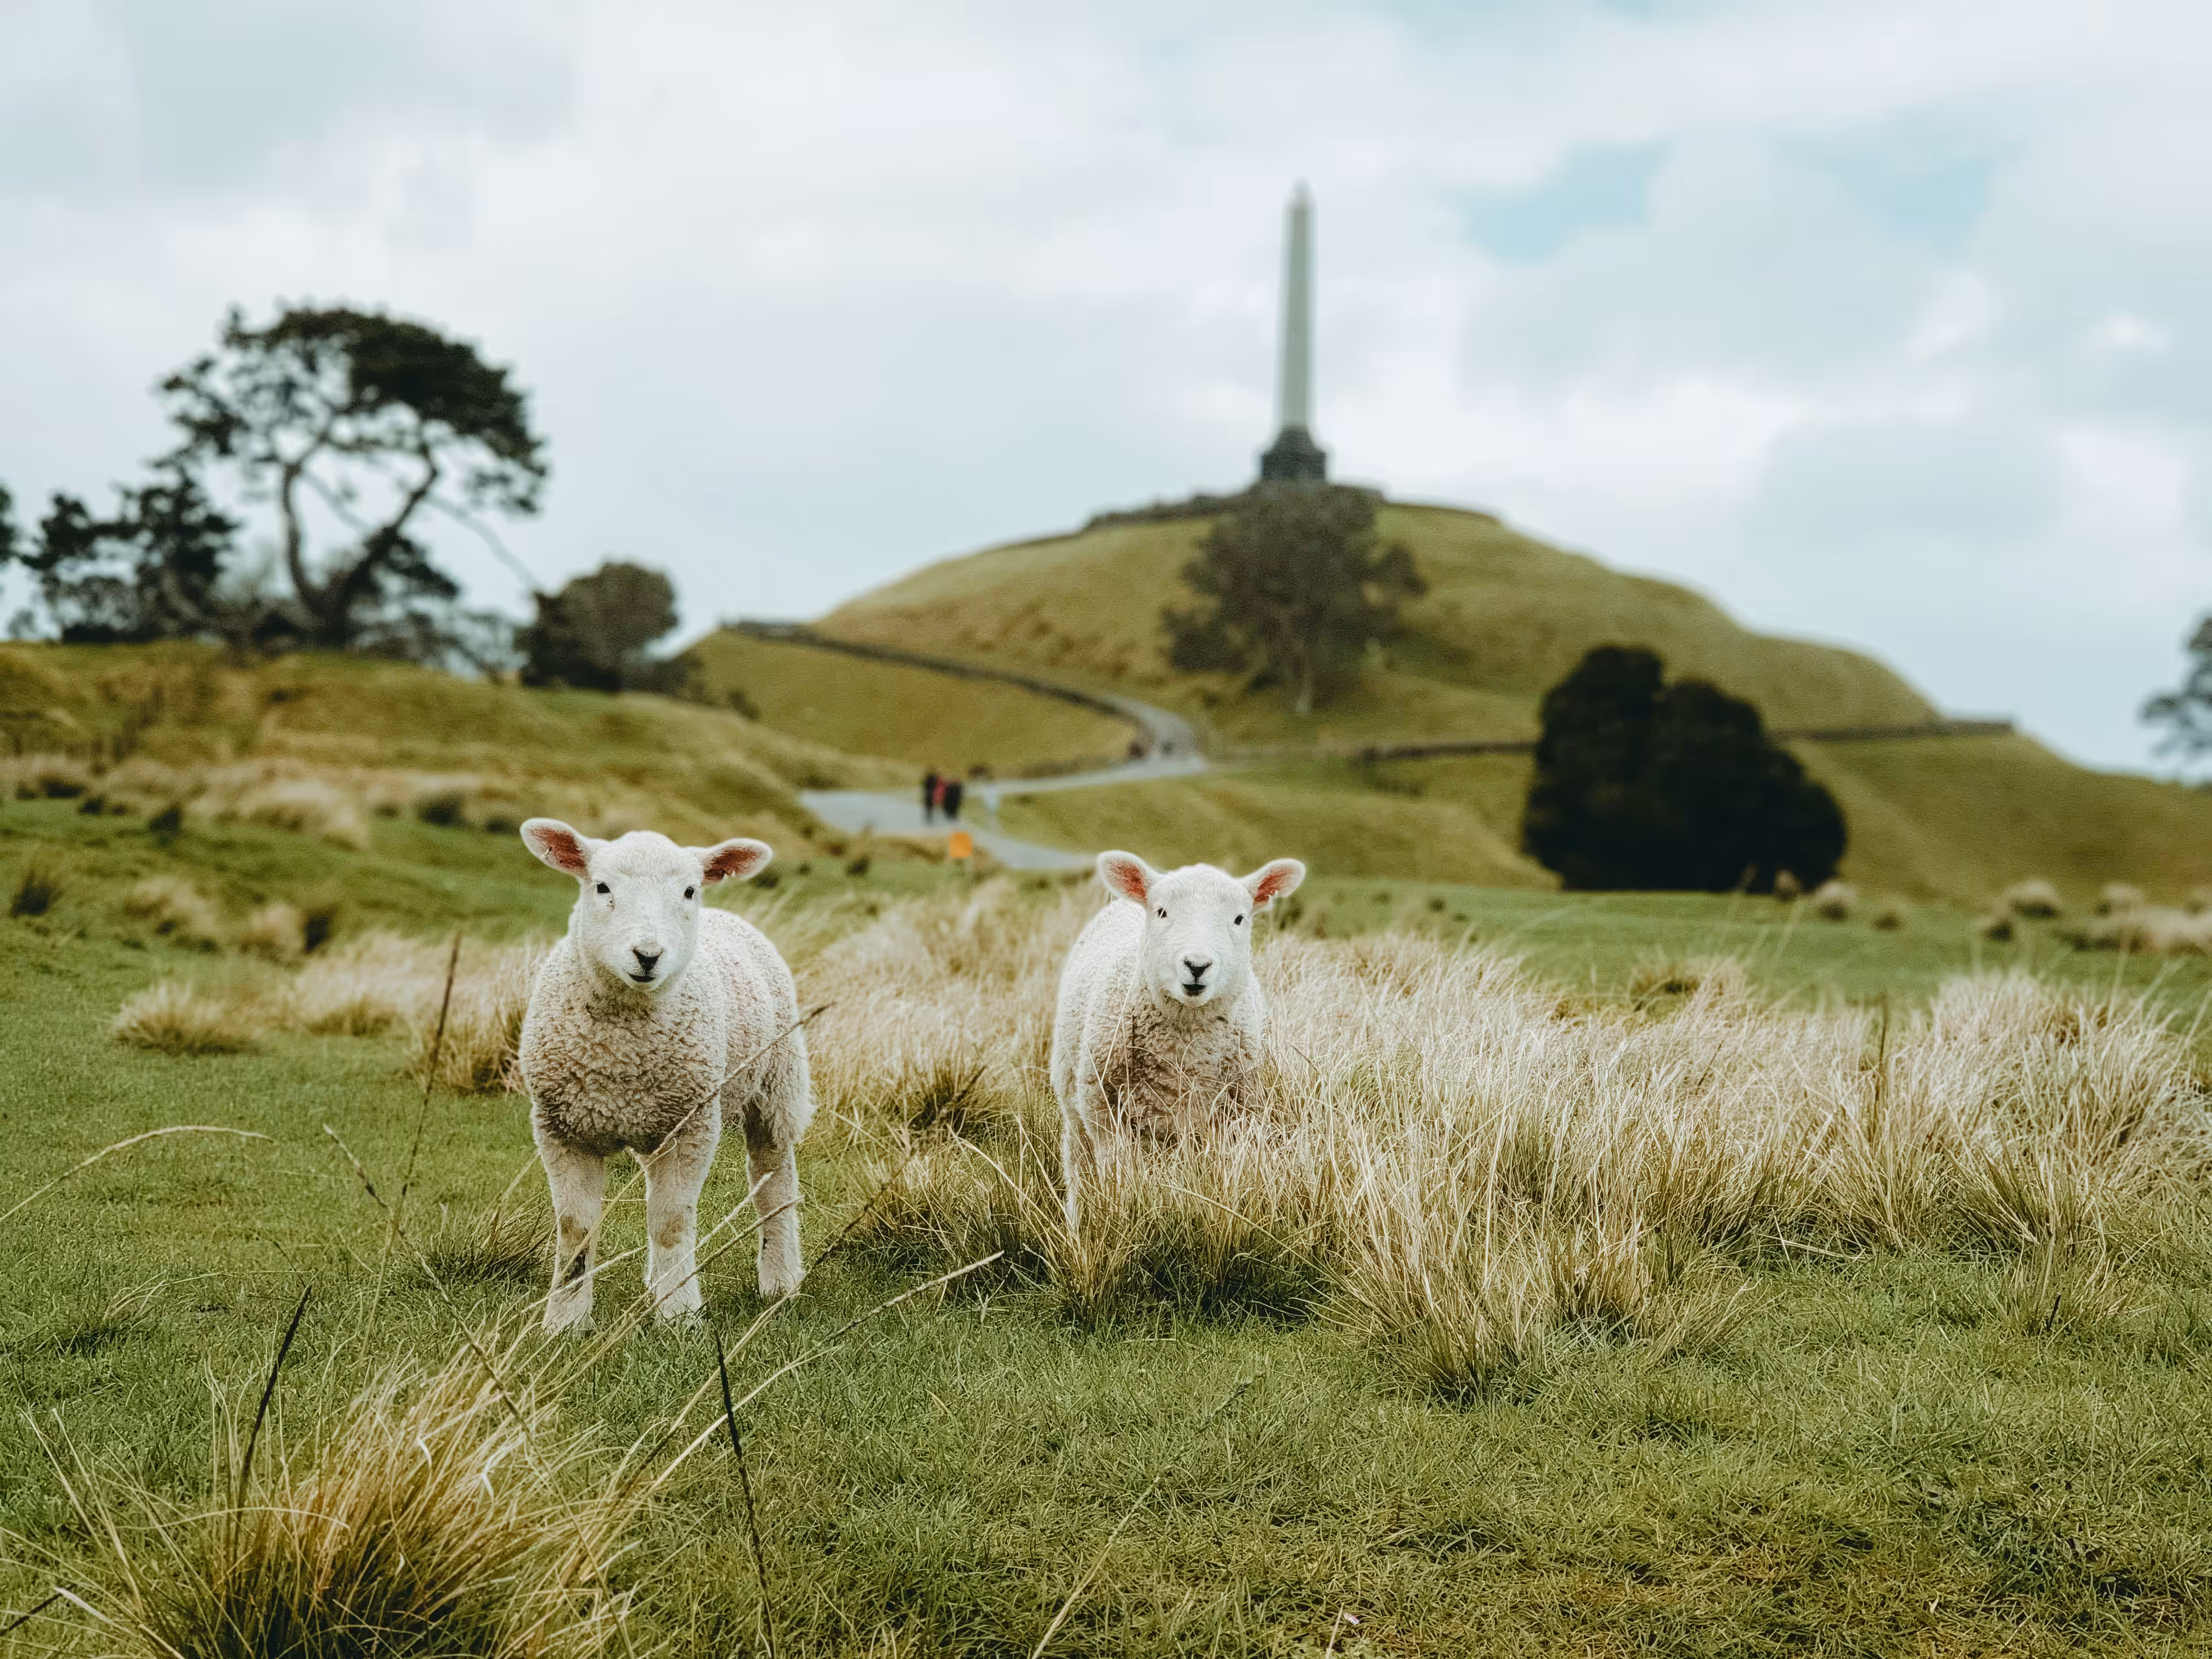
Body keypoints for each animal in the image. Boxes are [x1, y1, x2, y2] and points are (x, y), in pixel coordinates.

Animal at [517, 819, 813, 1331]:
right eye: (602, 887)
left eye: (690, 891)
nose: (648, 955)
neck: (621, 1051)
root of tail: (727, 917)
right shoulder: (562, 1129)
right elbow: (576, 1228)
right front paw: (565, 1321)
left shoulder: (692, 1126)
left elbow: (672, 1222)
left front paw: (680, 1314)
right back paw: (655, 1284)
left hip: (775, 1084)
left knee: (773, 1182)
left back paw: (778, 1280)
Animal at [1048, 849, 1304, 1231]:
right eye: (1162, 912)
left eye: (1239, 919)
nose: (1197, 966)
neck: (1184, 1049)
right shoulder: (1106, 1113)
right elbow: (1120, 1177)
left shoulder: (1236, 1116)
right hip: (1075, 1104)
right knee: (1078, 1166)